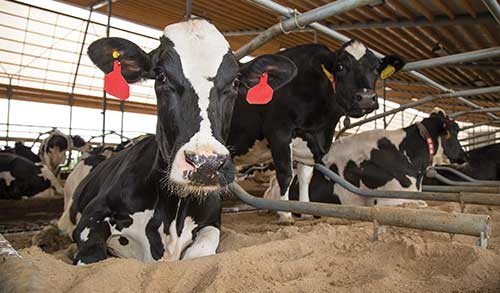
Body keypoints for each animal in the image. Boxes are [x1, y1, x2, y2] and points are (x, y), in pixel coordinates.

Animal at [64, 18, 294, 264]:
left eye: (235, 82)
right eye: (161, 76)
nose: (206, 163)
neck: (173, 212)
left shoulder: (212, 223)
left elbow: (200, 251)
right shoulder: (93, 215)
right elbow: (91, 254)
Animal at [229, 40, 404, 220]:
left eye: (376, 68)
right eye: (340, 66)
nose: (367, 98)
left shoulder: (310, 141)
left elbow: (305, 177)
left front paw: (306, 211)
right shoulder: (279, 132)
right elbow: (285, 174)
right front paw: (285, 214)